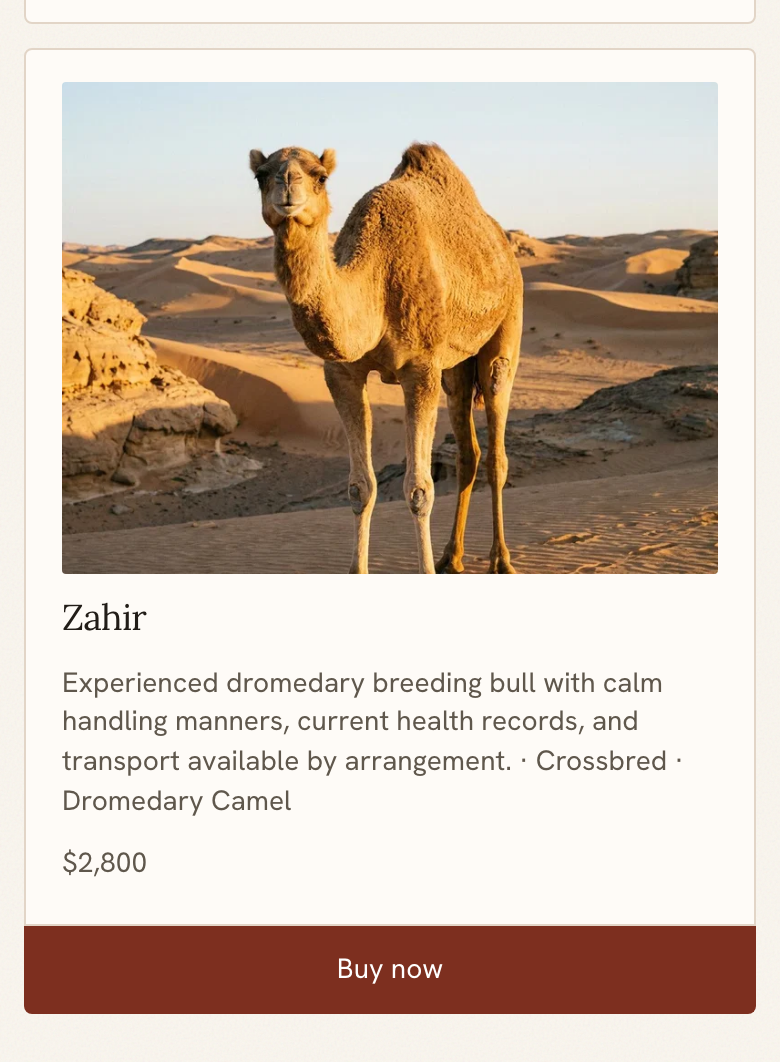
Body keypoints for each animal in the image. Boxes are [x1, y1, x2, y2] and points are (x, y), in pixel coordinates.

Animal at [249, 142, 523, 574]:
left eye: (319, 176)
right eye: (260, 175)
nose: (288, 186)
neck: (375, 283)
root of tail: (502, 244)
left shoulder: (421, 368)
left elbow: (419, 489)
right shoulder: (342, 373)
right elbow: (360, 487)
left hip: (507, 323)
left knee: (497, 446)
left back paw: (501, 560)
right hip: (456, 368)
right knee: (468, 453)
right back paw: (451, 557)